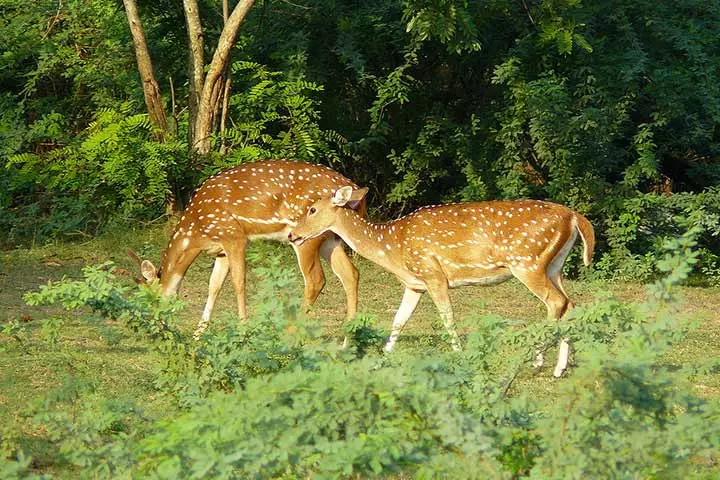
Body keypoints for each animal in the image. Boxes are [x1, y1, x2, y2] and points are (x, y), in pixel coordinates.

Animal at [128, 160, 366, 338]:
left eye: (150, 299)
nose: (155, 329)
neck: (196, 232)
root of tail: (357, 195)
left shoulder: (233, 236)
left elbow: (238, 282)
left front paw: (243, 330)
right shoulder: (221, 249)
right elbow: (213, 286)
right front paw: (198, 334)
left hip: (307, 237)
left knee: (316, 279)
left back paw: (288, 333)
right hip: (330, 239)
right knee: (350, 273)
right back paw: (349, 337)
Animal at [286, 186, 596, 376]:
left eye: (312, 209)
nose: (292, 234)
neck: (392, 247)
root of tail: (574, 217)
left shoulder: (433, 274)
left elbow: (447, 318)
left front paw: (460, 356)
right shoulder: (414, 283)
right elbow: (399, 320)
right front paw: (383, 356)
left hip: (527, 262)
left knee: (555, 302)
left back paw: (537, 360)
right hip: (553, 265)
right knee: (570, 303)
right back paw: (560, 368)